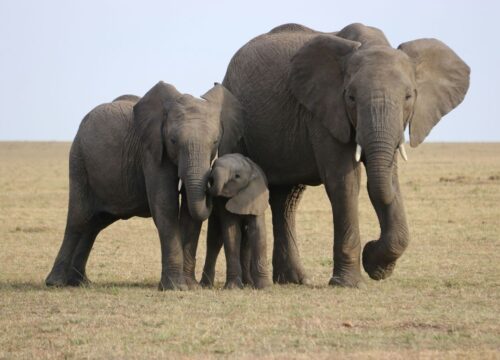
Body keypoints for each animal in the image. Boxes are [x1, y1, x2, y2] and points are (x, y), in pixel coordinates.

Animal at [44, 81, 243, 290]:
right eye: (173, 141)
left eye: (215, 142)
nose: (212, 184)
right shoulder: (151, 150)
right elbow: (165, 205)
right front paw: (175, 287)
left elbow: (189, 211)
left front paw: (190, 287)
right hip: (79, 159)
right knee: (78, 218)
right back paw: (55, 282)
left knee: (94, 224)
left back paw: (80, 282)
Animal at [199, 153, 272, 288]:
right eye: (213, 166)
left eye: (237, 176)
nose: (209, 180)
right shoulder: (222, 202)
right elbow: (232, 233)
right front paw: (233, 287)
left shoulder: (255, 197)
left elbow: (258, 232)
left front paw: (264, 287)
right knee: (214, 240)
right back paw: (205, 285)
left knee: (246, 242)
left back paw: (248, 283)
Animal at [217, 22, 470, 286]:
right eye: (351, 97)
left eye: (409, 96)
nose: (371, 247)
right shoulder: (324, 112)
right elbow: (345, 182)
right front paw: (350, 282)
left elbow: (388, 179)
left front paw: (377, 268)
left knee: (286, 200)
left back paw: (294, 280)